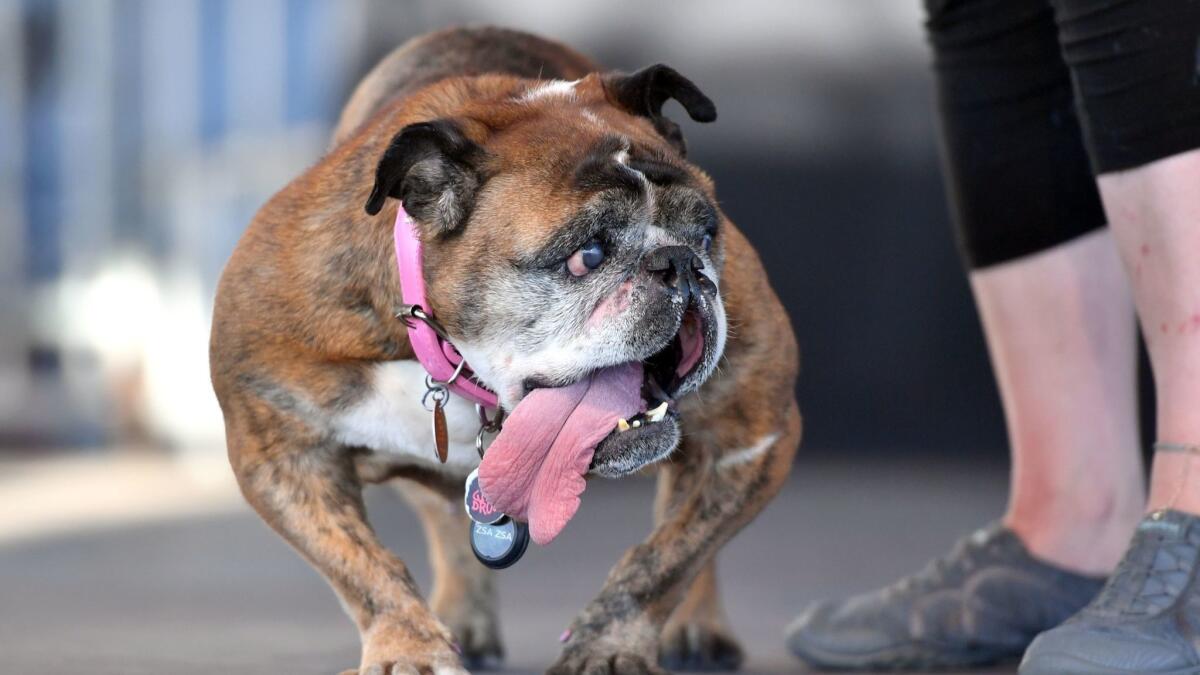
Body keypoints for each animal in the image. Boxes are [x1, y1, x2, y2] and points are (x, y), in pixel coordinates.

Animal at [211, 26, 801, 672]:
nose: (682, 266)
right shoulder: (280, 451)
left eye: (706, 233)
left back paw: (697, 627)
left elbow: (666, 559)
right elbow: (360, 568)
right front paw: (409, 646)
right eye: (587, 254)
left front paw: (608, 644)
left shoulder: (750, 434)